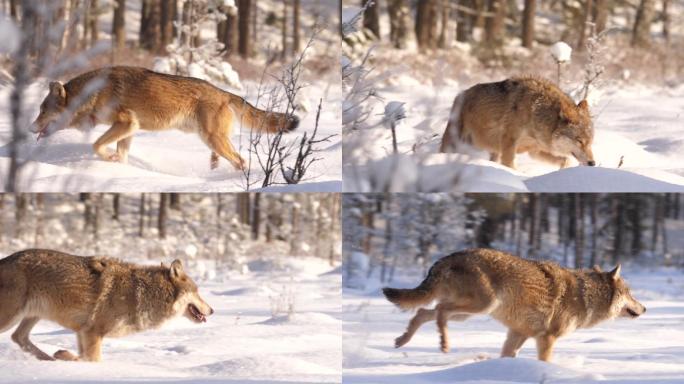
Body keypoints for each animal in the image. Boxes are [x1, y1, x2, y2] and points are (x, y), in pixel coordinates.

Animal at [27, 67, 300, 170]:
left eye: (42, 111)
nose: (30, 128)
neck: (91, 94)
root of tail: (223, 92)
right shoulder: (129, 129)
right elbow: (120, 154)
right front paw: (118, 166)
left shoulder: (126, 122)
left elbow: (96, 145)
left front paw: (108, 159)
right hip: (210, 140)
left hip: (212, 139)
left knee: (241, 161)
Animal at [382, 248, 644, 362]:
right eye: (631, 293)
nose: (644, 308)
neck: (584, 295)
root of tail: (448, 257)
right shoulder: (546, 338)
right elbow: (544, 361)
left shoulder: (517, 334)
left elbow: (508, 356)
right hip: (482, 306)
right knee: (439, 312)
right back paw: (444, 344)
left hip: (468, 312)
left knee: (424, 311)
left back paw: (402, 340)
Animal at [440, 76, 596, 170]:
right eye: (580, 141)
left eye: (590, 142)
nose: (592, 163)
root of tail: (459, 95)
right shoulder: (510, 142)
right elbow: (510, 166)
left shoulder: (535, 151)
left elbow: (565, 160)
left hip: (493, 151)